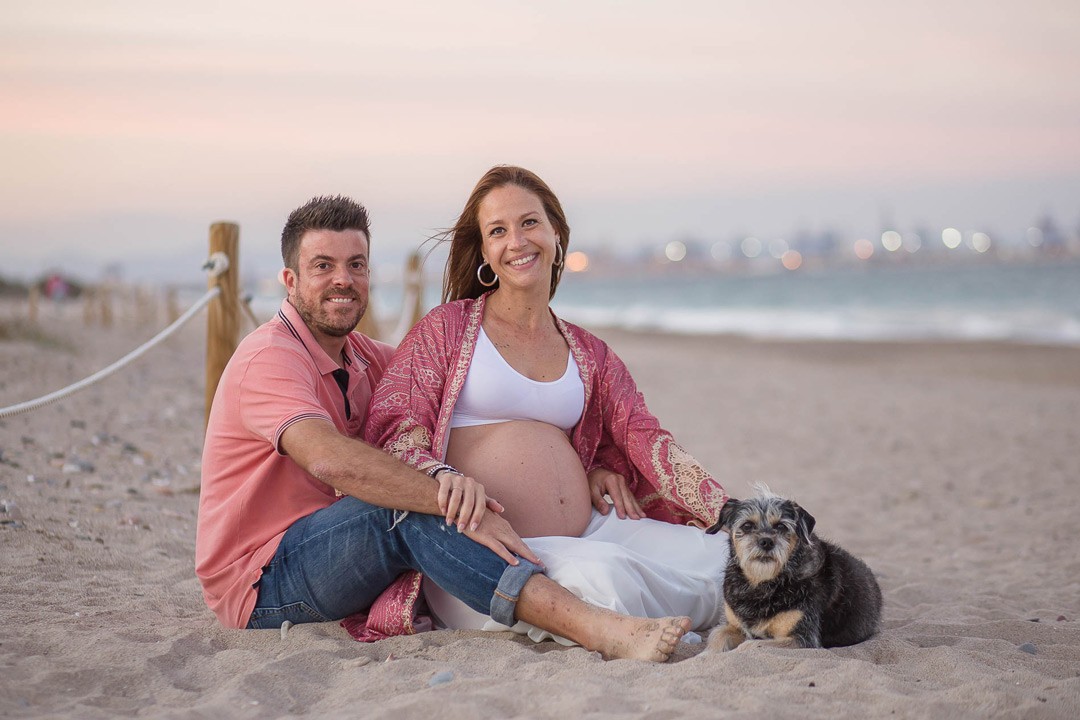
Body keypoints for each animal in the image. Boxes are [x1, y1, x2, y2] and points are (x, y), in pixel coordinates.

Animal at [708, 487, 876, 651]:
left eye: (781, 526)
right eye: (747, 525)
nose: (766, 542)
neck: (761, 584)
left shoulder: (803, 638)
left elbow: (750, 646)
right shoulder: (733, 626)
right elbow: (716, 637)